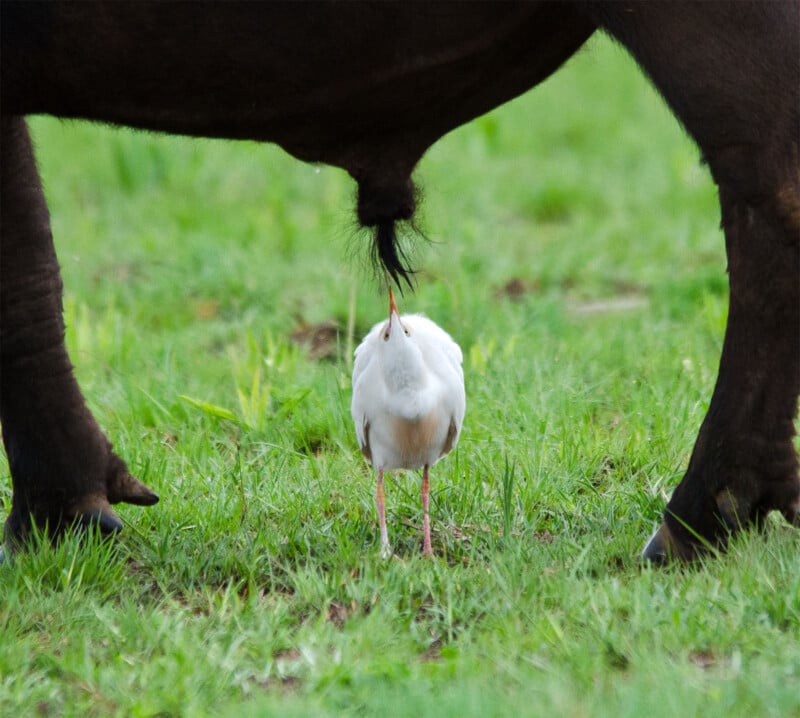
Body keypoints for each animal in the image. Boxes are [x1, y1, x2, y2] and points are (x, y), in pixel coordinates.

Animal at [1, 1, 798, 563]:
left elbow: (22, 263)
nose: (390, 320)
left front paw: (55, 520)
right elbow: (29, 251)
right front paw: (65, 512)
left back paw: (699, 518)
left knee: (769, 189)